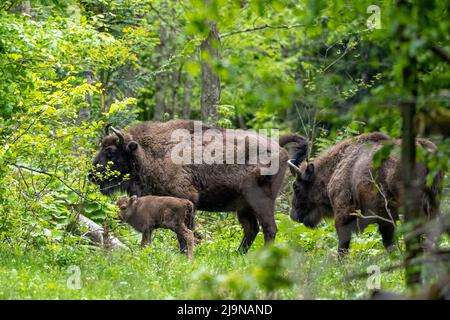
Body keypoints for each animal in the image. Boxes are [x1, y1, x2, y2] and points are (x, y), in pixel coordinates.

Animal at [89, 119, 306, 251]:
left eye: (110, 152)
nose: (91, 175)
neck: (148, 152)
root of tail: (278, 145)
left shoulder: (186, 200)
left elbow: (184, 233)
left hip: (261, 201)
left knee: (269, 229)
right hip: (244, 207)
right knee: (251, 230)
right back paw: (238, 254)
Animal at [286, 131, 442, 254]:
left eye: (296, 187)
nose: (293, 215)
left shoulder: (343, 213)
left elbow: (343, 246)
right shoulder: (385, 218)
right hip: (433, 203)